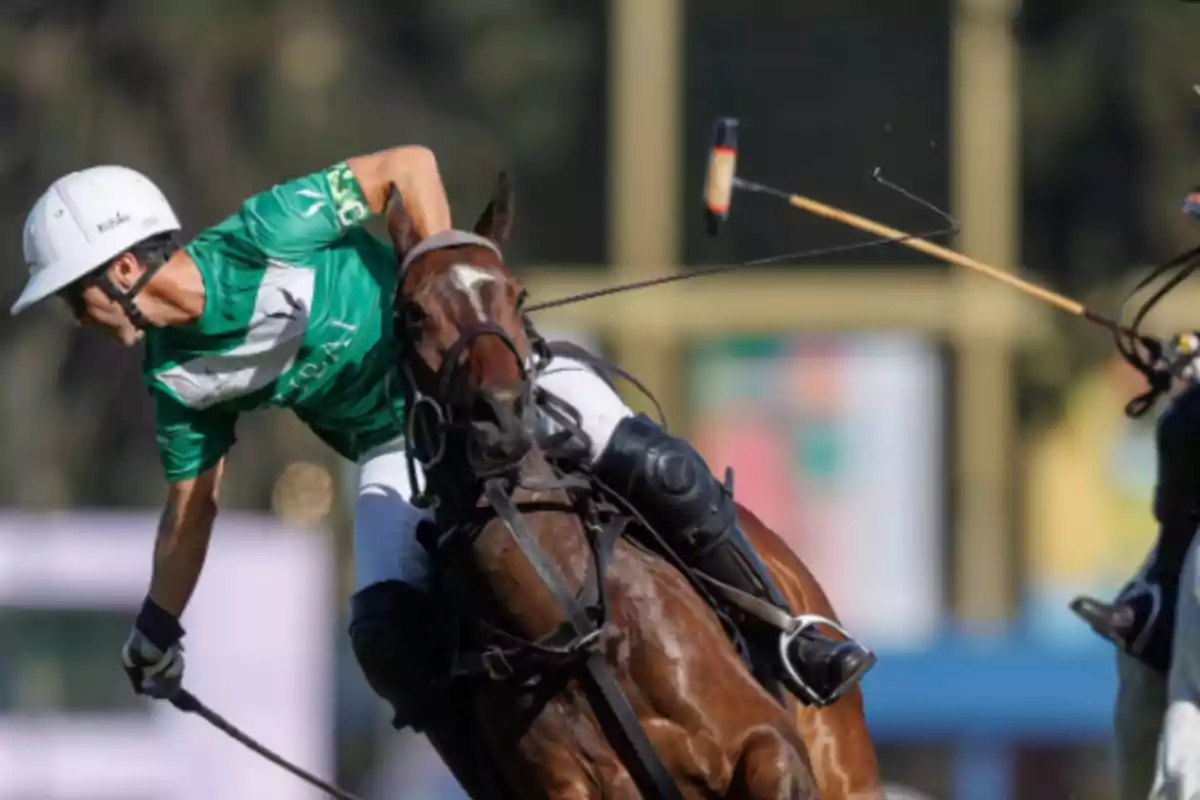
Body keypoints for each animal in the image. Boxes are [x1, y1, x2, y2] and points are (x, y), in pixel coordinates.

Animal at [384, 176, 883, 800]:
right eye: (414, 312)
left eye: (517, 296)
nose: (501, 417)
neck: (572, 628)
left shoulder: (772, 746)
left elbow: (770, 751)